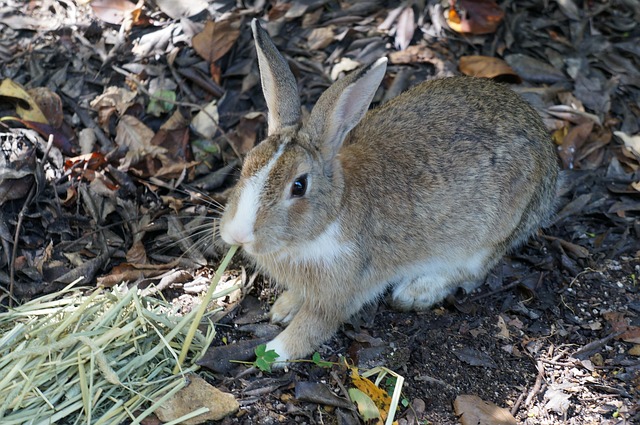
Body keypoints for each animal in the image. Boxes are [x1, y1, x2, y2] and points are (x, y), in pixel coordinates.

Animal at [219, 19, 560, 363]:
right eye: (247, 163)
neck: (328, 218)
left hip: (487, 235)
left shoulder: (339, 292)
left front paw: (276, 351)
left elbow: (314, 326)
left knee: (471, 272)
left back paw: (415, 292)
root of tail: (549, 161)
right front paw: (282, 309)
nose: (238, 234)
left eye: (299, 186)